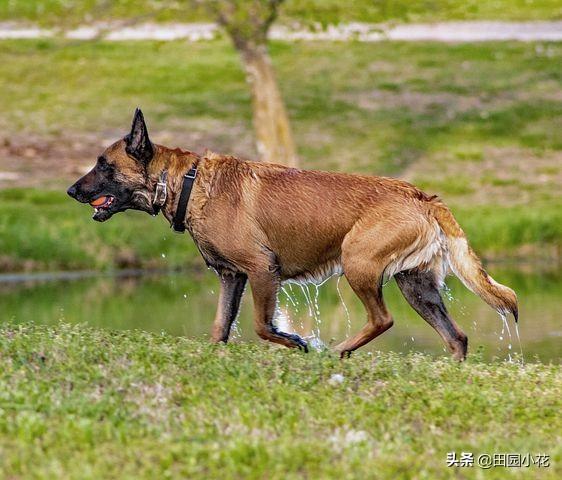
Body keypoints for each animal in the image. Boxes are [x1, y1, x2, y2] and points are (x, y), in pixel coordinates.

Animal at [66, 108, 516, 356]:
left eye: (103, 165)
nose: (71, 191)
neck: (188, 182)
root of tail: (422, 196)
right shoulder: (232, 277)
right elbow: (219, 328)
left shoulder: (262, 270)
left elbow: (262, 326)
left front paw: (298, 342)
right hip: (416, 285)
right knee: (456, 337)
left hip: (358, 262)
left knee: (383, 319)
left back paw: (337, 351)